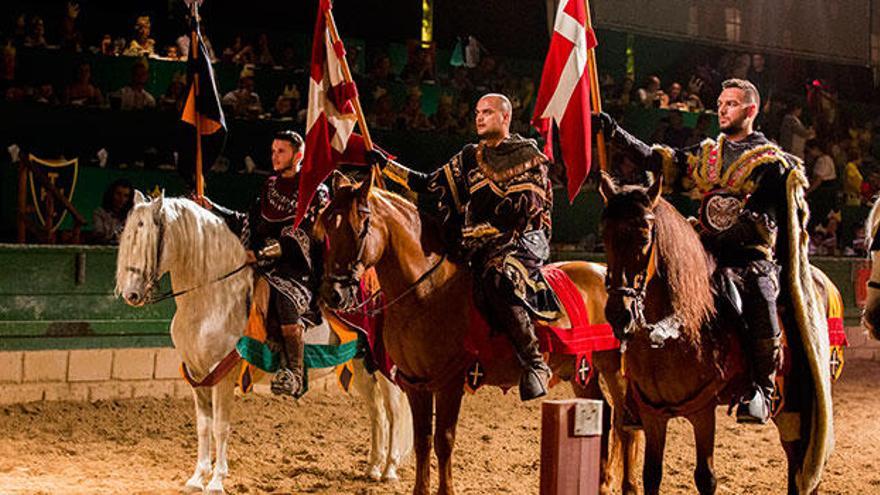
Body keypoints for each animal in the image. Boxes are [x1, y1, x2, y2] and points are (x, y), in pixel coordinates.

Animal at [114, 192, 412, 494]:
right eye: (128, 236)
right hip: (362, 365)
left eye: (147, 239)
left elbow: (220, 426)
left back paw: (389, 469)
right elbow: (203, 427)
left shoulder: (222, 376)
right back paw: (373, 468)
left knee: (394, 413)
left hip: (382, 365)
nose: (131, 294)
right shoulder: (199, 377)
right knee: (376, 413)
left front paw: (216, 481)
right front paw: (197, 478)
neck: (212, 299)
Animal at [316, 177, 640, 495]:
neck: (426, 292)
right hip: (580, 370)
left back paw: (628, 485)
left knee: (626, 423)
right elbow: (422, 441)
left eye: (358, 228)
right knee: (606, 417)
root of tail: (603, 272)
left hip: (614, 368)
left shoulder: (449, 383)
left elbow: (443, 440)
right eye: (328, 227)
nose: (333, 294)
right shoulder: (415, 383)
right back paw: (602, 483)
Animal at [600, 174, 836, 495]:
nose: (619, 313)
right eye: (606, 235)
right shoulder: (653, 414)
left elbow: (706, 477)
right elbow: (652, 475)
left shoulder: (703, 411)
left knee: (802, 465)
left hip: (796, 404)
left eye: (645, 236)